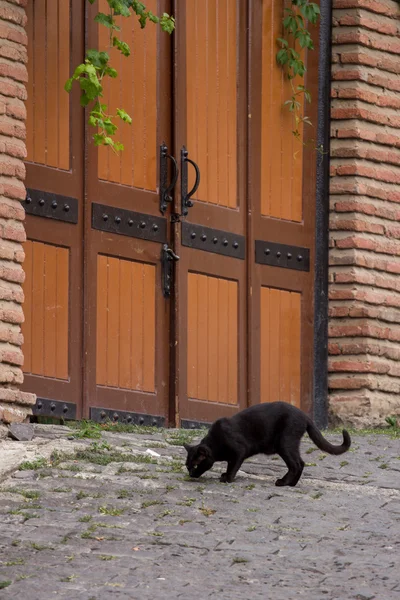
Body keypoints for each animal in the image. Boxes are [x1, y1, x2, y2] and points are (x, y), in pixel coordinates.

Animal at [184, 400, 350, 486]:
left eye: (196, 465)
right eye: (187, 466)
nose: (191, 474)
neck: (215, 443)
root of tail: (305, 415)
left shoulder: (240, 451)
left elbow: (233, 466)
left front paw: (227, 478)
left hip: (285, 443)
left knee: (296, 464)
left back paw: (283, 482)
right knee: (301, 463)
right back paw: (291, 484)